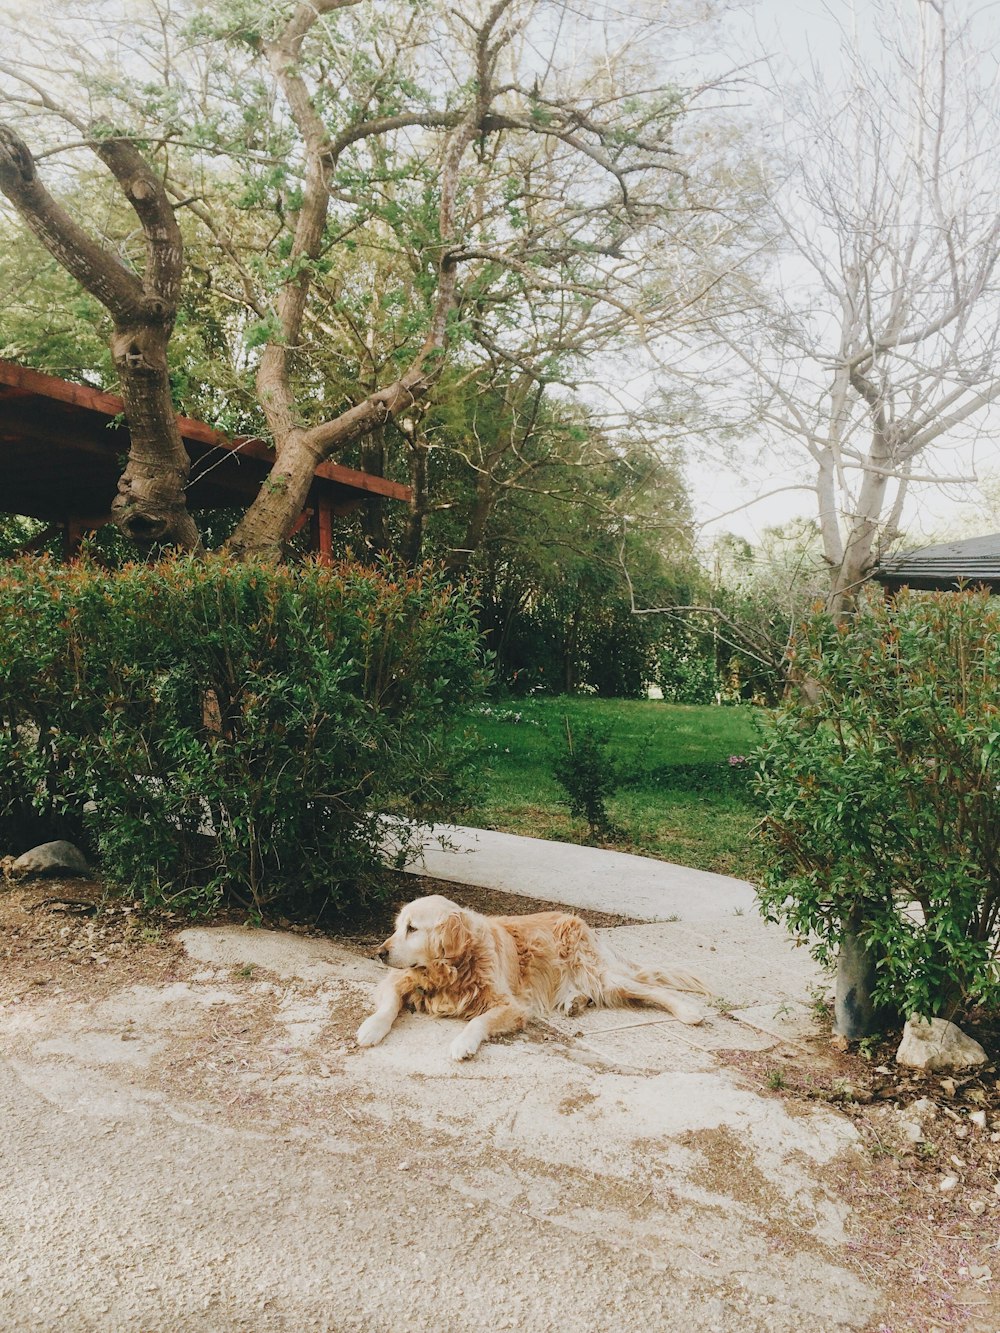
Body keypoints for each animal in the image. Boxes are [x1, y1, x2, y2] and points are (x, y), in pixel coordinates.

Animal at [357, 895, 709, 1061]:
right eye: (397, 926)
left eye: (412, 928)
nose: (379, 952)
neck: (451, 971)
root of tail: (581, 921)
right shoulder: (396, 981)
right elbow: (388, 1004)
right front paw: (371, 1028)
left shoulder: (511, 1006)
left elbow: (478, 1021)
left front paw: (463, 1043)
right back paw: (574, 1002)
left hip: (598, 973)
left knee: (648, 988)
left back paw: (688, 1011)